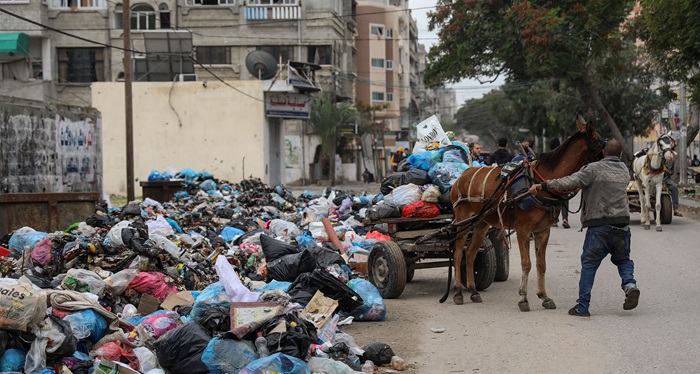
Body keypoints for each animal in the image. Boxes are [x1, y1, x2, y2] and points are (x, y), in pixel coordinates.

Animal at [452, 114, 604, 310]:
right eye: (600, 144)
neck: (539, 183)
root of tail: (462, 175)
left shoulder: (542, 231)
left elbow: (541, 264)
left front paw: (544, 296)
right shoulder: (523, 231)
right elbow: (526, 264)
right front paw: (523, 298)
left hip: (481, 223)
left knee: (470, 253)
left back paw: (473, 290)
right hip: (463, 221)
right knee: (458, 252)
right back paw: (457, 292)